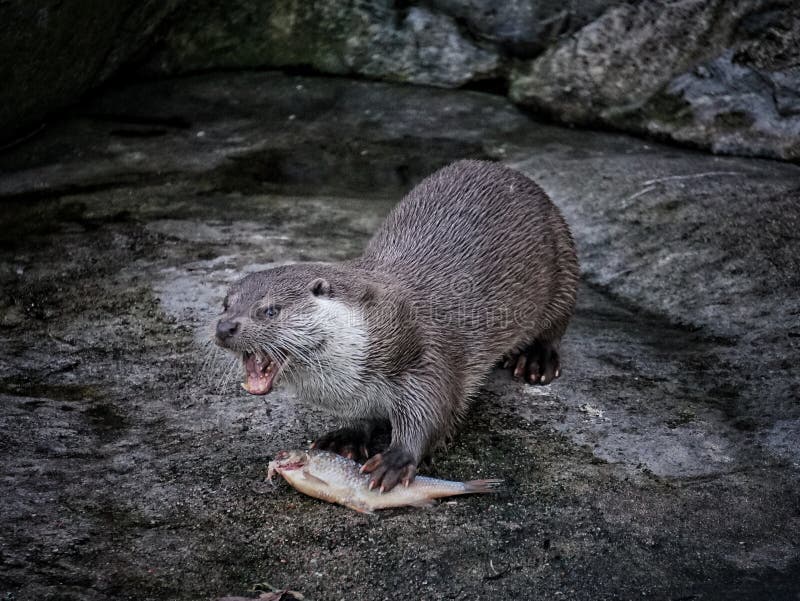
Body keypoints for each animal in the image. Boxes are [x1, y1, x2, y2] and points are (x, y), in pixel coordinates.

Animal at [215, 160, 579, 491]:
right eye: (226, 304)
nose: (225, 328)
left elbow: (433, 410)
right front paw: (344, 437)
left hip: (563, 260)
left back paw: (535, 360)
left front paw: (396, 459)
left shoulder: (426, 354)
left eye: (270, 310)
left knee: (556, 322)